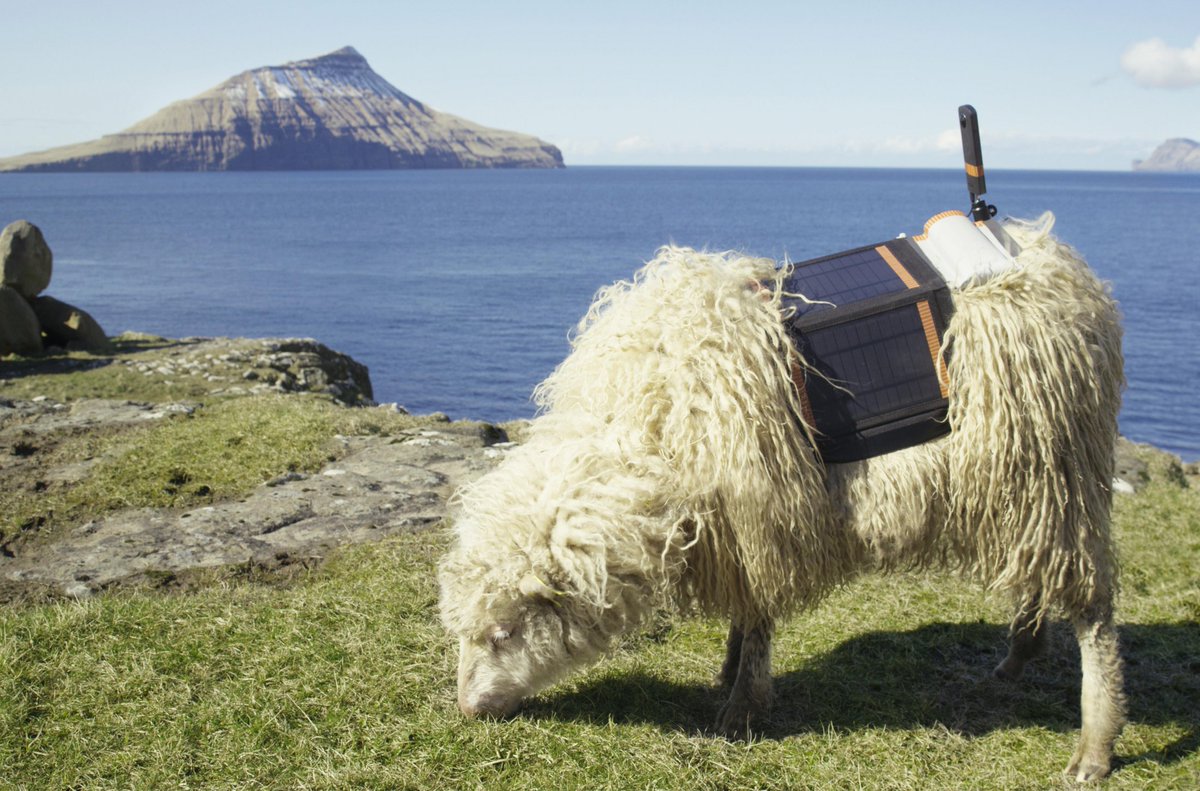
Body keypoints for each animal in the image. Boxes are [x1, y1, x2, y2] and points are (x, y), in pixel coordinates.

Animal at [437, 216, 1125, 782]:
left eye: (503, 632)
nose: (468, 710)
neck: (642, 428)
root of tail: (1056, 258)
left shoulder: (759, 508)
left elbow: (761, 613)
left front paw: (742, 706)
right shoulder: (731, 520)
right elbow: (747, 611)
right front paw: (728, 669)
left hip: (1056, 466)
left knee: (1094, 611)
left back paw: (1093, 746)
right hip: (1030, 484)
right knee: (1041, 566)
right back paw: (1020, 652)